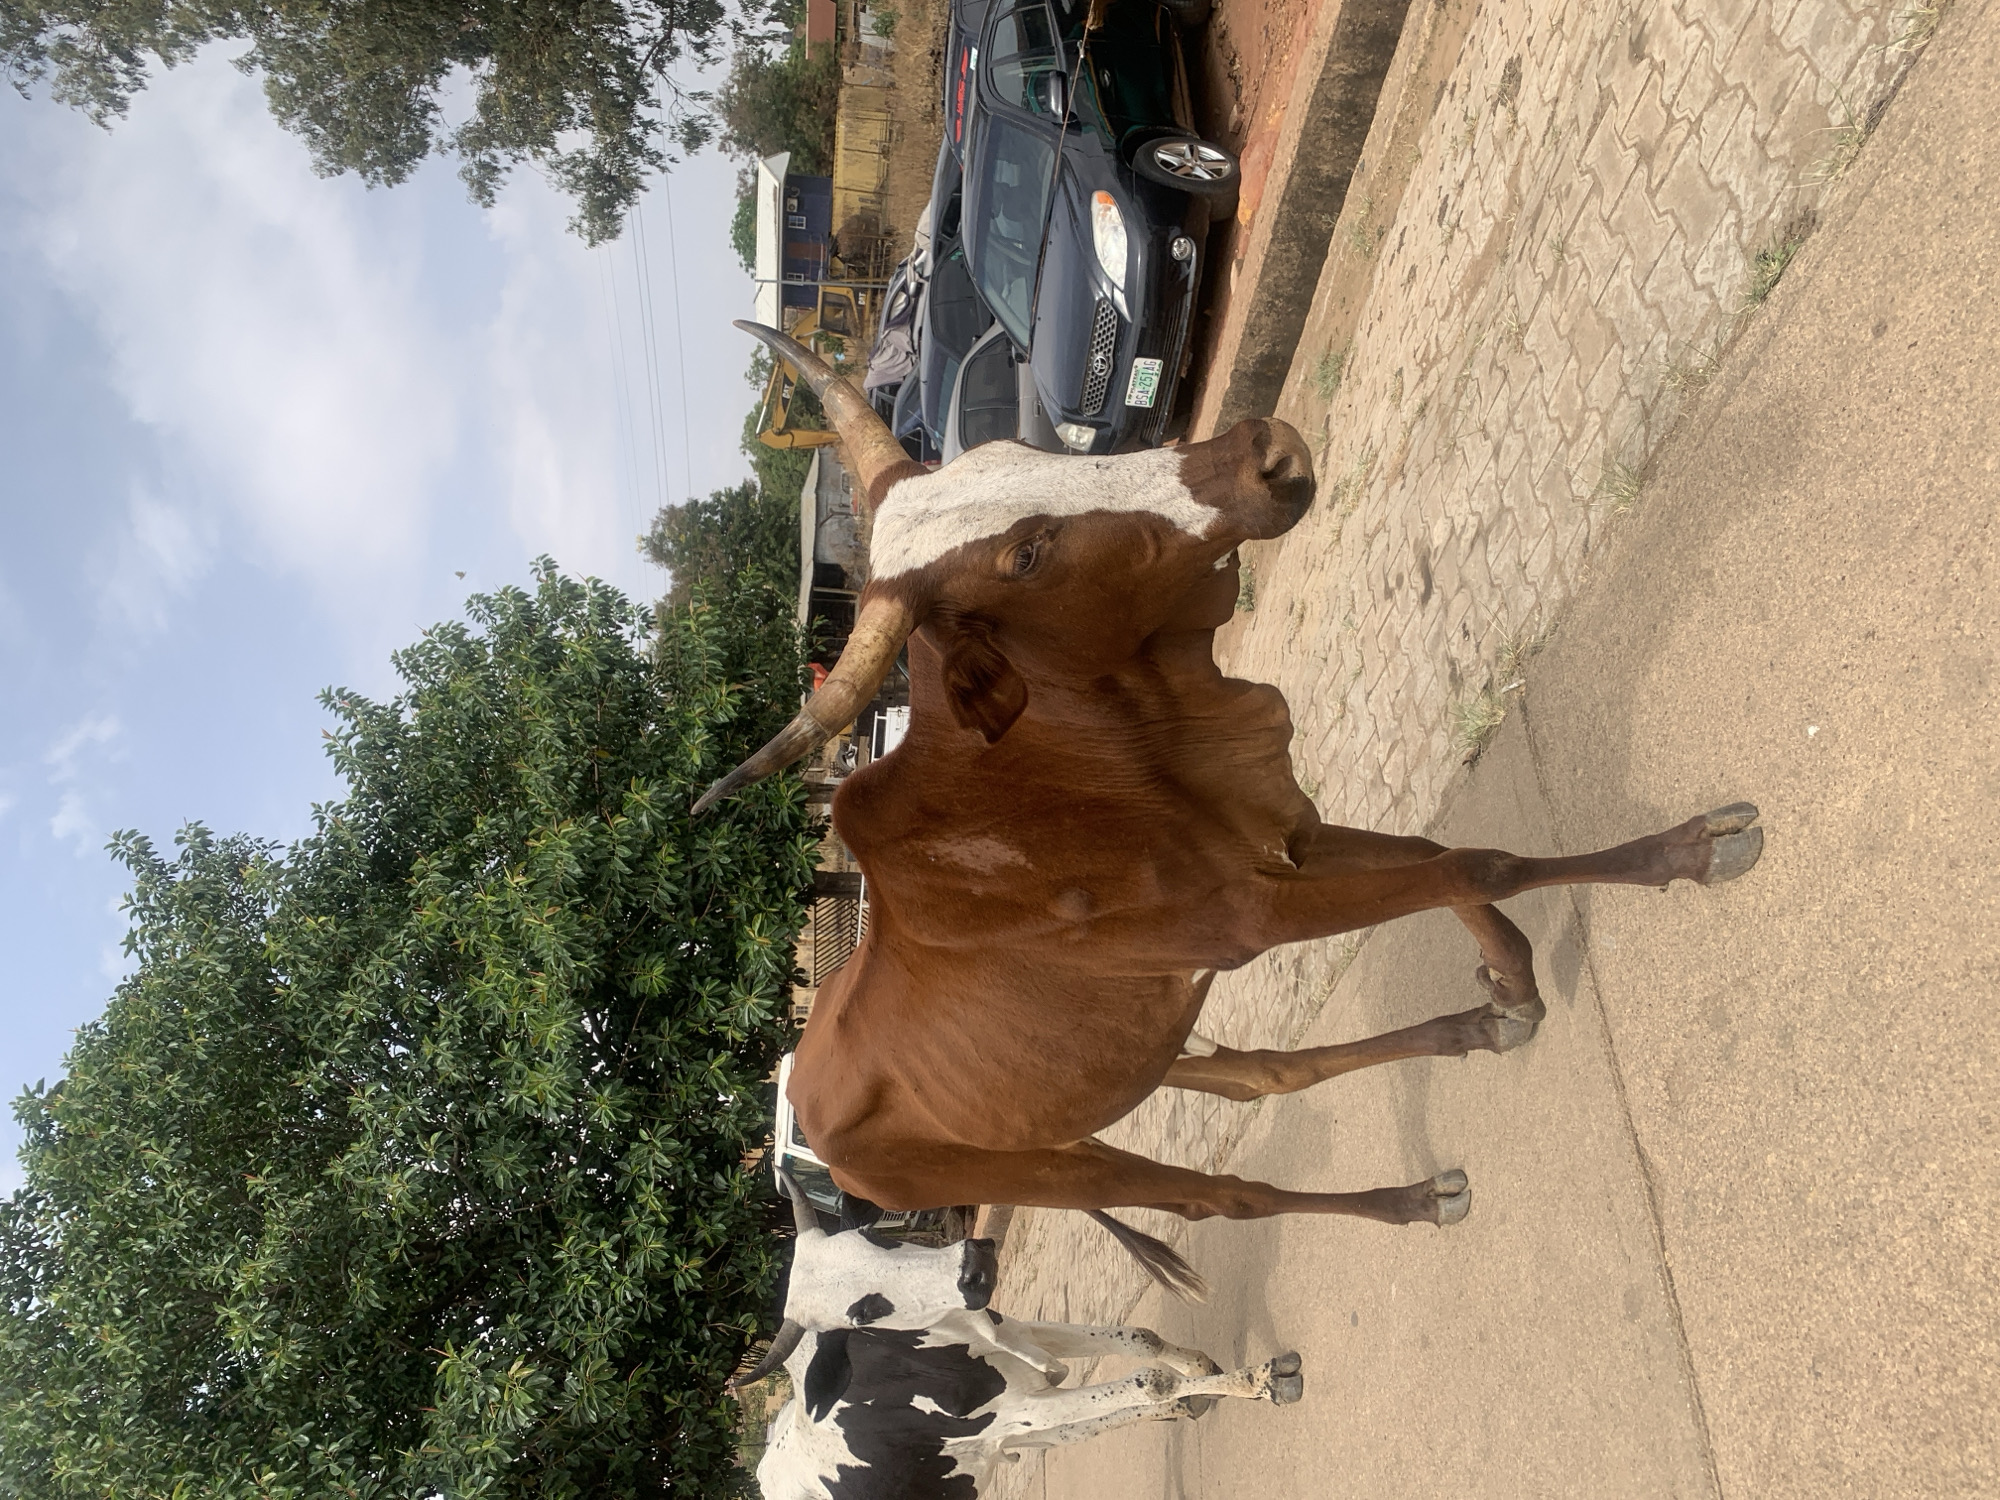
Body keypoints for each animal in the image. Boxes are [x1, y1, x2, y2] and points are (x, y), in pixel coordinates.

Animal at [703, 320, 1765, 1231]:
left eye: (1024, 456)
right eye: (1026, 553)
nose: (1271, 453)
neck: (1103, 757)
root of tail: (808, 1108)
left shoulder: (1286, 836)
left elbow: (1446, 850)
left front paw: (1516, 967)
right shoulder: (1253, 915)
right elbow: (1475, 863)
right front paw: (1671, 865)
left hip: (1134, 1066)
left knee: (1258, 1077)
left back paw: (1465, 1034)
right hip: (1046, 1167)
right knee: (1221, 1199)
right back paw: (1405, 1202)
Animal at [737, 1174, 1302, 1498]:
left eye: (875, 1235)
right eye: (862, 1313)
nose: (974, 1267)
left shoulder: (1014, 1331)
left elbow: (1138, 1338)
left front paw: (1201, 1373)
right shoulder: (1016, 1411)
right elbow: (1147, 1381)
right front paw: (1259, 1380)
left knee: (1080, 1428)